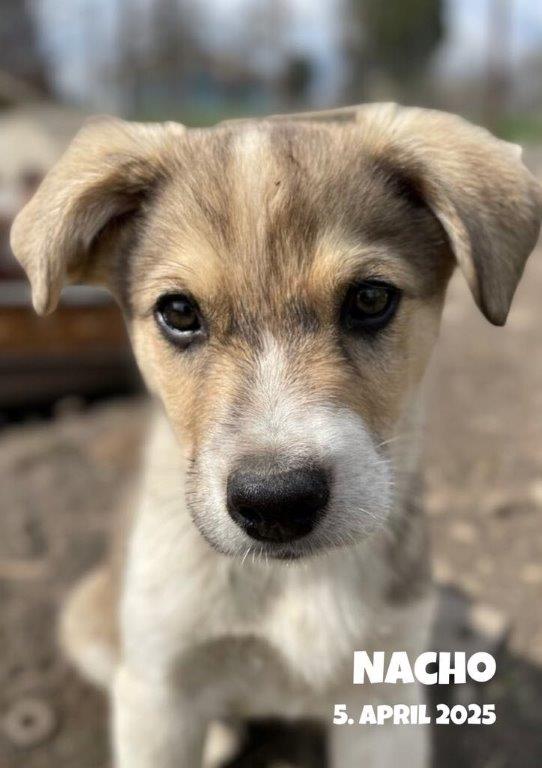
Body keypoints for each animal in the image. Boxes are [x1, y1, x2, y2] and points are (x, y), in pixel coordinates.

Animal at [11, 103, 542, 767]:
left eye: (371, 297)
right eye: (178, 312)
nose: (276, 503)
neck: (293, 583)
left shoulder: (381, 701)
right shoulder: (157, 688)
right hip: (89, 621)